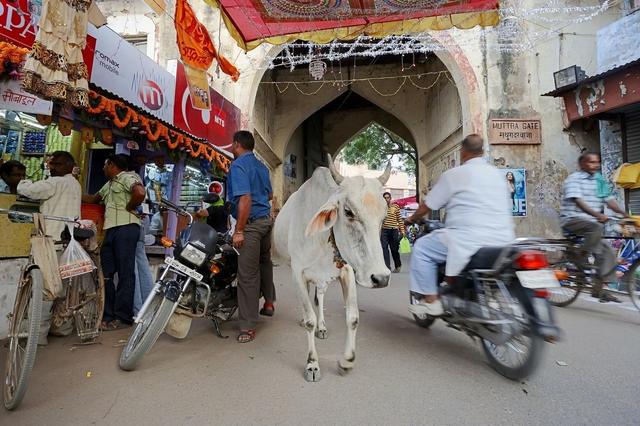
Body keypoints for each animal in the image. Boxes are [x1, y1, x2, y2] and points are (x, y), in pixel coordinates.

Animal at [274, 155, 392, 382]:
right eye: (348, 212)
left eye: (383, 217)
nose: (381, 278)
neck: (323, 239)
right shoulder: (298, 273)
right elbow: (309, 319)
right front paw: (312, 364)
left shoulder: (348, 271)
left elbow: (353, 318)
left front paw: (347, 362)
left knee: (319, 298)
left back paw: (322, 327)